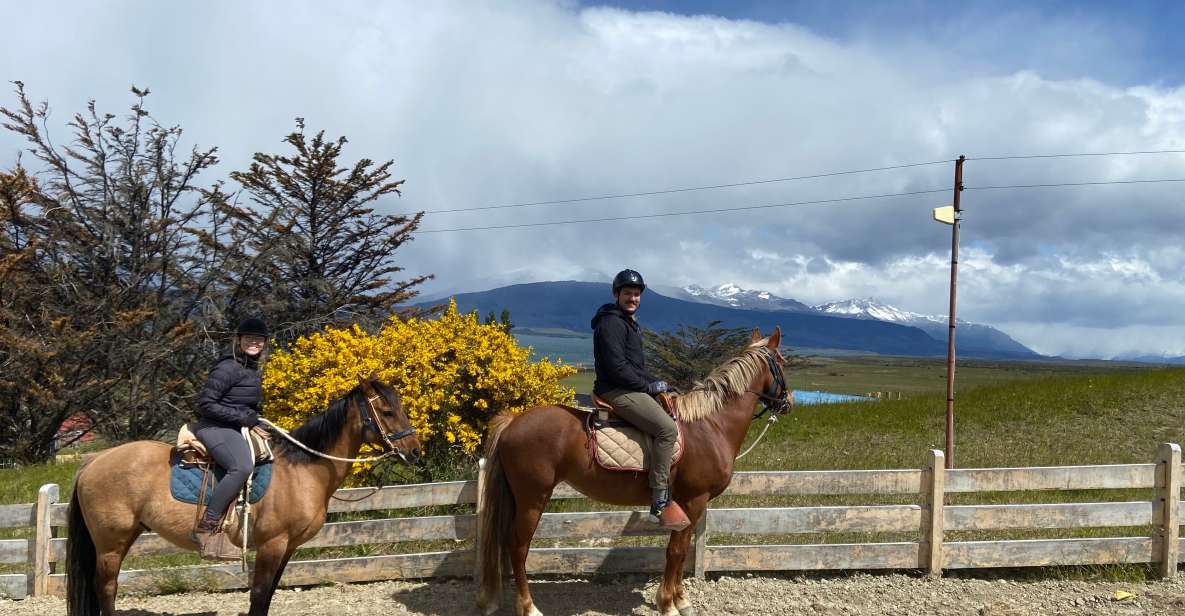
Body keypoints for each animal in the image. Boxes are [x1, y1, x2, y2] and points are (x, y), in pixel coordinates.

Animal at [66, 374, 421, 616]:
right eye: (387, 412)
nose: (415, 451)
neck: (302, 471)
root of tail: (94, 462)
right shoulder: (272, 544)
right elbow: (259, 594)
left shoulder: (287, 547)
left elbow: (269, 594)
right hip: (111, 543)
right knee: (106, 588)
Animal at [476, 326, 791, 616]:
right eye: (783, 362)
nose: (788, 403)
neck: (710, 425)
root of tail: (513, 421)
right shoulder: (694, 500)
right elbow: (676, 552)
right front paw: (668, 604)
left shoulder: (691, 504)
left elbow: (681, 550)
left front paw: (680, 599)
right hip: (533, 499)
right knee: (518, 547)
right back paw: (529, 607)